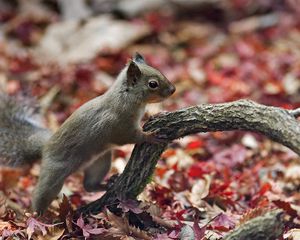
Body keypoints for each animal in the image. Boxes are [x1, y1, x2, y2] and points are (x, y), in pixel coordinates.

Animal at [0, 53, 176, 215]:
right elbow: (128, 137)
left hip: (100, 162)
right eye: (152, 84)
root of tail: (45, 147)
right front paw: (150, 136)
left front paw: (156, 115)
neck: (125, 97)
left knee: (89, 185)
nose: (173, 90)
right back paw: (38, 217)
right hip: (54, 173)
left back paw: (108, 183)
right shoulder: (118, 126)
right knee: (41, 193)